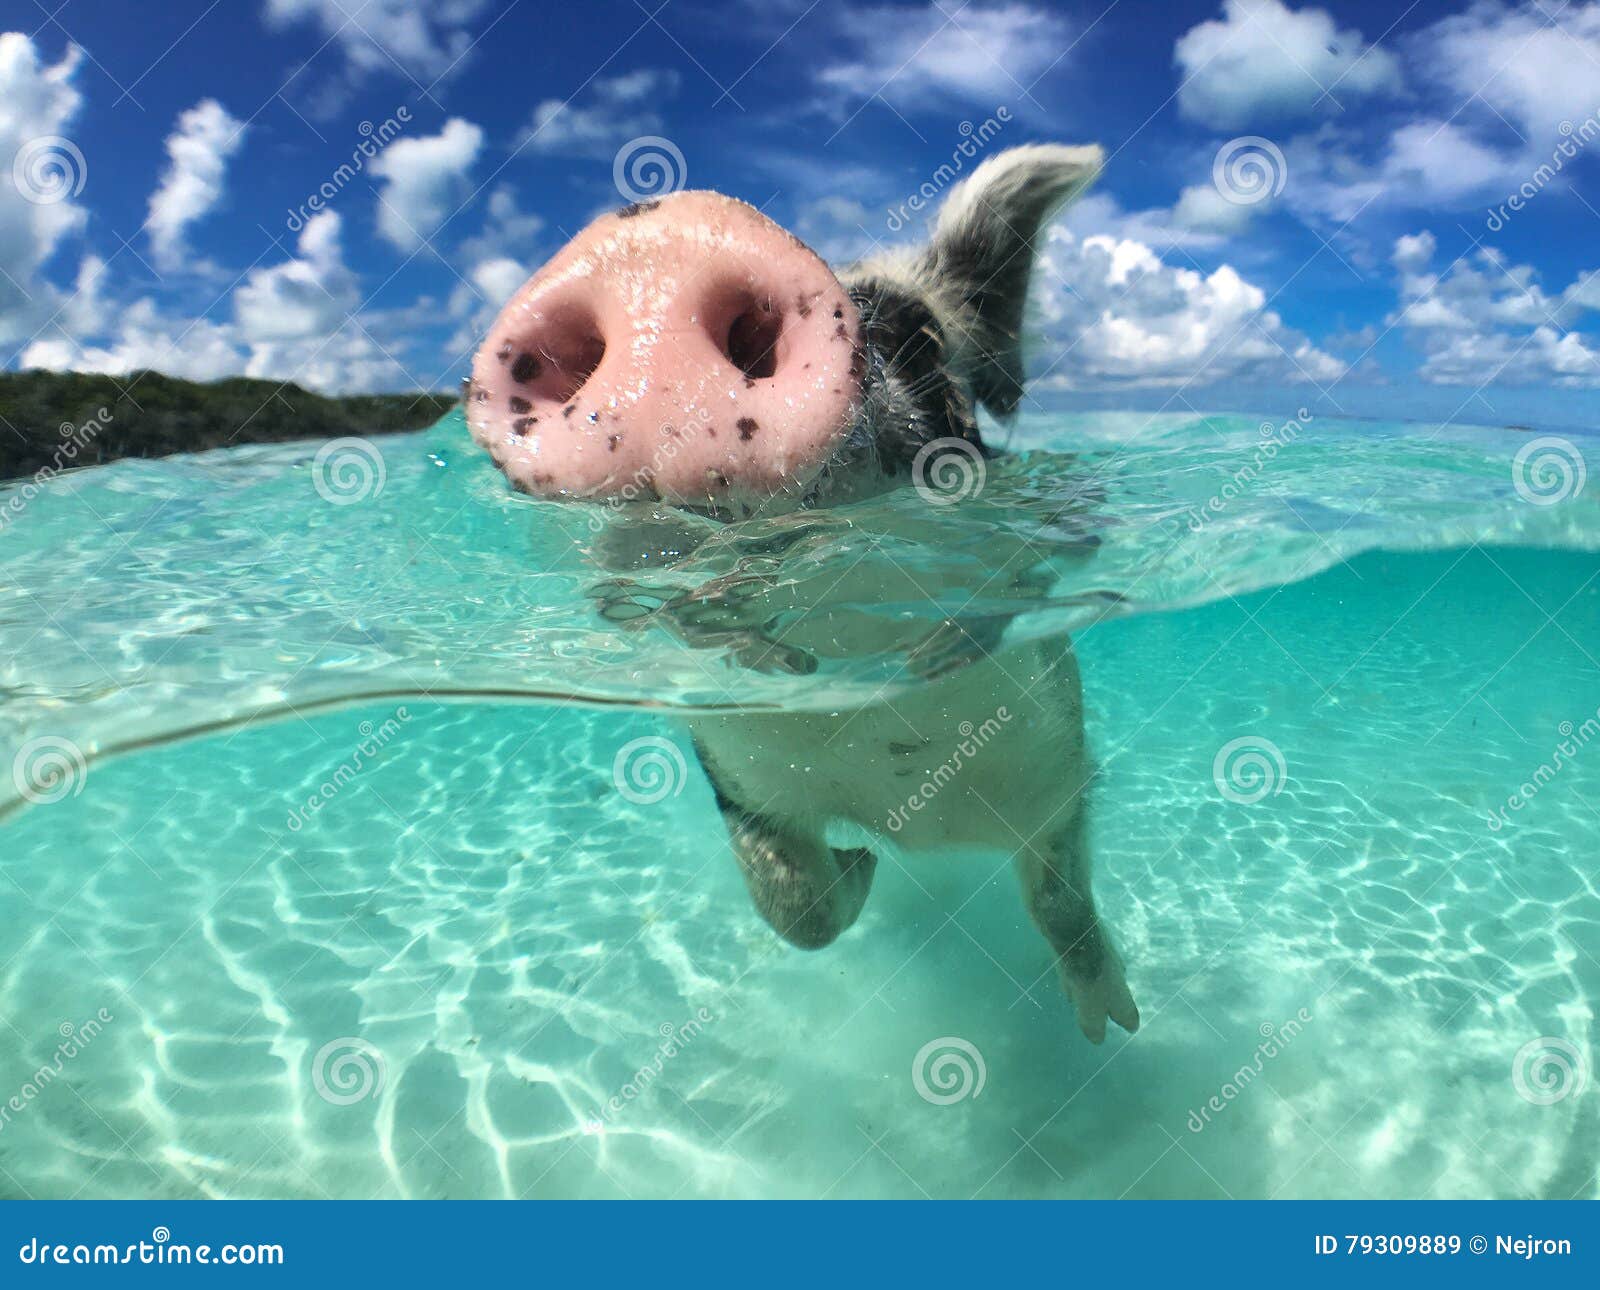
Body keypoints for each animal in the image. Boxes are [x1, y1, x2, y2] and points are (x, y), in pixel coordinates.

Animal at [464, 146, 1139, 1043]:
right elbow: (797, 909)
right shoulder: (734, 772)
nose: (658, 241)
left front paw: (1112, 1027)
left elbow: (1060, 894)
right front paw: (861, 865)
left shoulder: (1058, 755)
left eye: (923, 340)